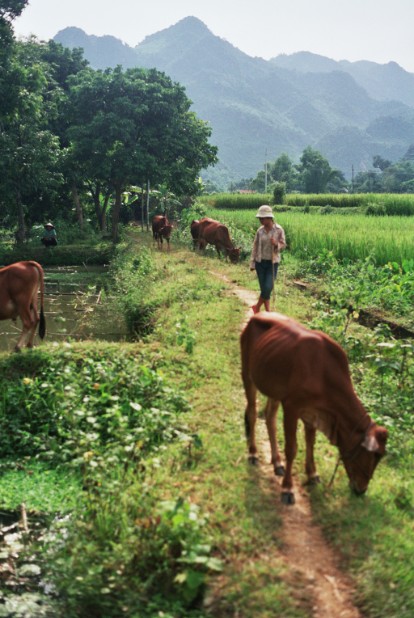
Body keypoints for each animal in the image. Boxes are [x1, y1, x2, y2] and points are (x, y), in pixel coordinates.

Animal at [241, 310, 386, 502]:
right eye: (373, 454)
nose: (361, 490)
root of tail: (257, 315)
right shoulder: (292, 407)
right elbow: (292, 449)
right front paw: (287, 488)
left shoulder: (312, 412)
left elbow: (310, 442)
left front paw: (312, 474)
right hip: (247, 374)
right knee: (252, 413)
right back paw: (253, 453)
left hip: (274, 390)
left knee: (269, 417)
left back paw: (277, 462)